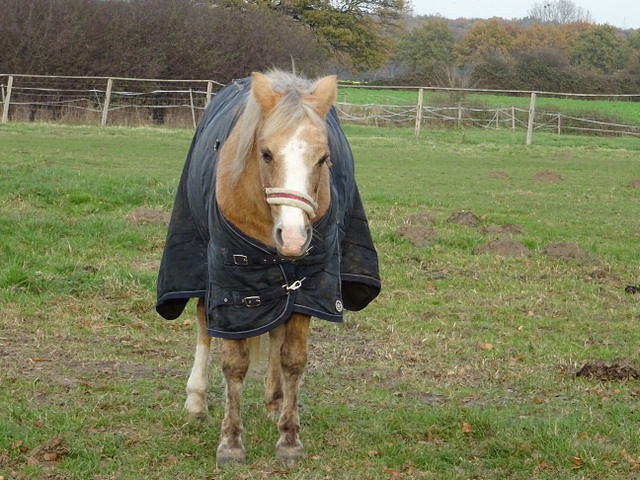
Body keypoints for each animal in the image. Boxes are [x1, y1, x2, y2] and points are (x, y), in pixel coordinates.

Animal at [156, 70, 380, 464]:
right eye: (266, 153)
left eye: (323, 158)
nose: (292, 238)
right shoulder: (231, 284)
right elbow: (234, 363)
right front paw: (230, 443)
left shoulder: (308, 286)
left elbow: (293, 358)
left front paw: (289, 438)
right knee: (202, 323)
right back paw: (196, 402)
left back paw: (274, 400)